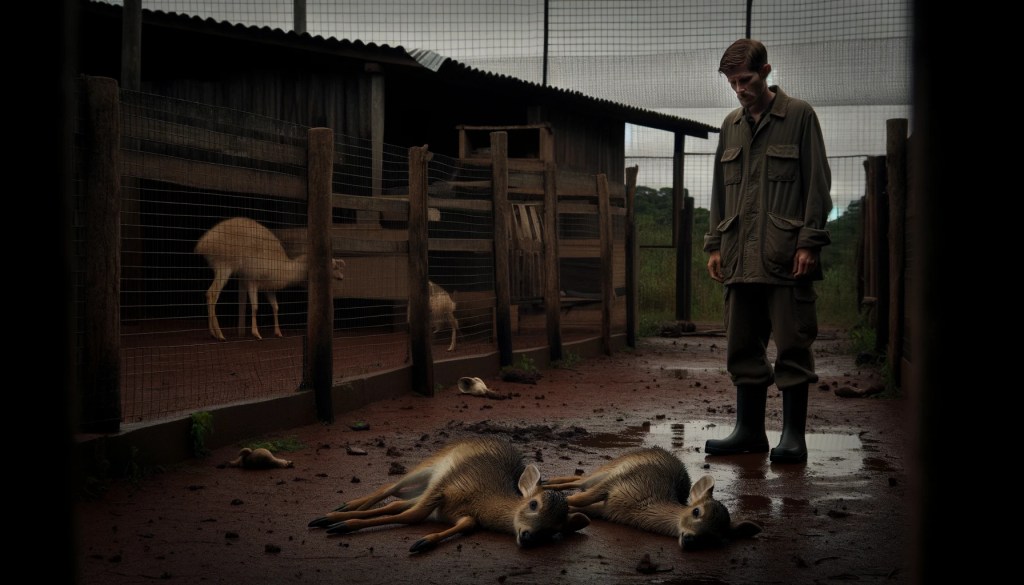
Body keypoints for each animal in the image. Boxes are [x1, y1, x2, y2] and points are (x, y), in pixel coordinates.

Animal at [195, 217, 345, 341]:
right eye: (333, 266)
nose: (342, 277)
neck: (285, 269)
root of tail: (202, 244)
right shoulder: (251, 280)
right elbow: (255, 306)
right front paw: (256, 333)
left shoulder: (268, 288)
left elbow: (275, 307)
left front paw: (278, 332)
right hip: (224, 266)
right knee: (212, 294)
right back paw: (219, 334)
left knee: (209, 293)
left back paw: (213, 333)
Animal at [307, 436, 590, 553]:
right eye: (533, 504)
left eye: (554, 530)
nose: (529, 537)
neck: (482, 498)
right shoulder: (443, 488)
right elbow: (411, 516)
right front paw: (341, 525)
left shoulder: (457, 512)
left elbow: (466, 524)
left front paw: (423, 542)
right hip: (428, 468)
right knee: (389, 488)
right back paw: (336, 512)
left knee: (396, 501)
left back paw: (336, 513)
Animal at [542, 446, 762, 551]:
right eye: (696, 510)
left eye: (715, 537)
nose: (690, 539)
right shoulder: (618, 481)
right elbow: (578, 499)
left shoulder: (607, 510)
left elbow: (581, 507)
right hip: (608, 470)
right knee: (580, 480)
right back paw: (545, 481)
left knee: (579, 480)